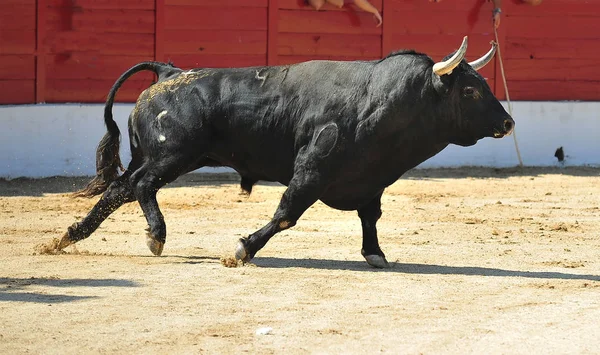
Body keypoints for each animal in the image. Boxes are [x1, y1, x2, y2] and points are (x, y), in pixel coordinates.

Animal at [58, 37, 512, 268]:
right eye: (469, 91)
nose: (507, 123)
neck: (381, 102)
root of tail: (169, 71)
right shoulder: (312, 170)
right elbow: (286, 212)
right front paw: (242, 249)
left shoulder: (371, 179)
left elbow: (370, 217)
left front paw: (376, 254)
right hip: (173, 157)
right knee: (141, 185)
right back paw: (156, 236)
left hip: (157, 156)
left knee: (119, 189)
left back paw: (68, 237)